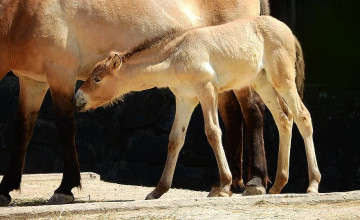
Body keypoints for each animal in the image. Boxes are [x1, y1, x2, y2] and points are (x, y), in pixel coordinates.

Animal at [0, 0, 270, 205]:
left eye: (97, 78)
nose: (80, 98)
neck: (21, 13)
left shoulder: (60, 75)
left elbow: (66, 128)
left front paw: (65, 188)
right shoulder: (32, 82)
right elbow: (22, 131)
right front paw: (6, 189)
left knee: (254, 113)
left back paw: (255, 181)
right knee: (233, 118)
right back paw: (229, 183)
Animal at [73, 15, 320, 198]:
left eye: (97, 78)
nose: (77, 99)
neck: (176, 56)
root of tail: (289, 32)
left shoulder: (207, 90)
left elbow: (213, 132)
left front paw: (224, 186)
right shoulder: (185, 99)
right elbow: (175, 139)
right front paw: (158, 190)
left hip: (283, 80)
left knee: (303, 117)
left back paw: (312, 185)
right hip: (263, 83)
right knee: (284, 119)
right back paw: (278, 185)